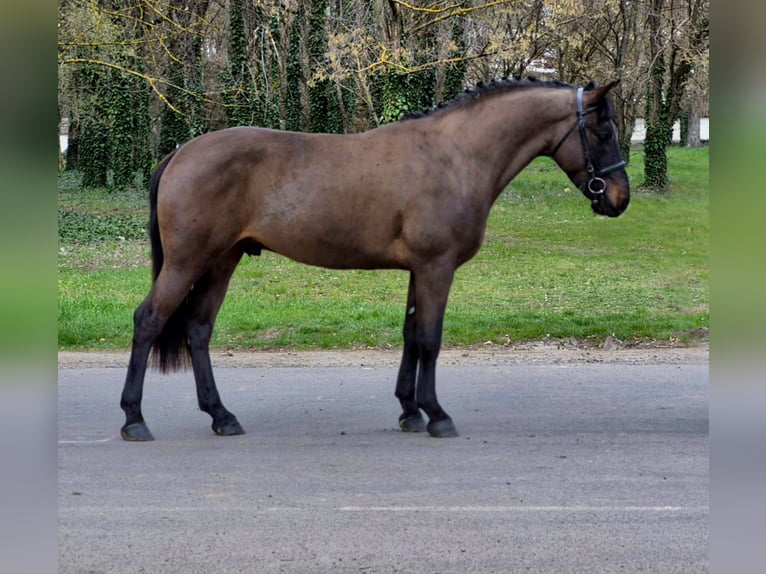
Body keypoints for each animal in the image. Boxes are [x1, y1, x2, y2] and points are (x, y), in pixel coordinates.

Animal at [119, 77, 630, 442]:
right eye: (602, 130)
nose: (619, 199)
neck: (455, 156)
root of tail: (181, 152)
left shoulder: (419, 270)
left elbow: (410, 335)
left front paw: (410, 411)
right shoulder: (436, 267)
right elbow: (430, 339)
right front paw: (437, 415)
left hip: (222, 261)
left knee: (198, 329)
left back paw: (221, 415)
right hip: (187, 261)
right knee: (149, 320)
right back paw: (134, 419)